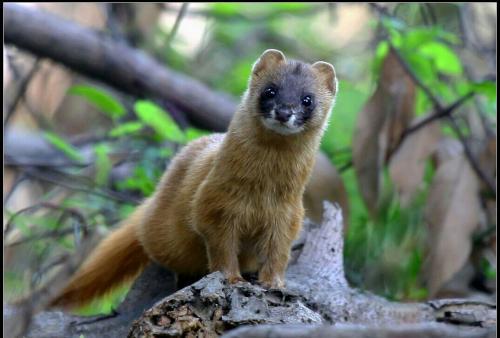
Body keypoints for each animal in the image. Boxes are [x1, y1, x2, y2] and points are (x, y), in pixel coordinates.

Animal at [50, 48, 336, 308]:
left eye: (307, 99)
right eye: (270, 90)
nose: (284, 111)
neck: (261, 191)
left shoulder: (288, 215)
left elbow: (278, 252)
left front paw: (274, 283)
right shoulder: (214, 204)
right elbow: (221, 247)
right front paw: (233, 279)